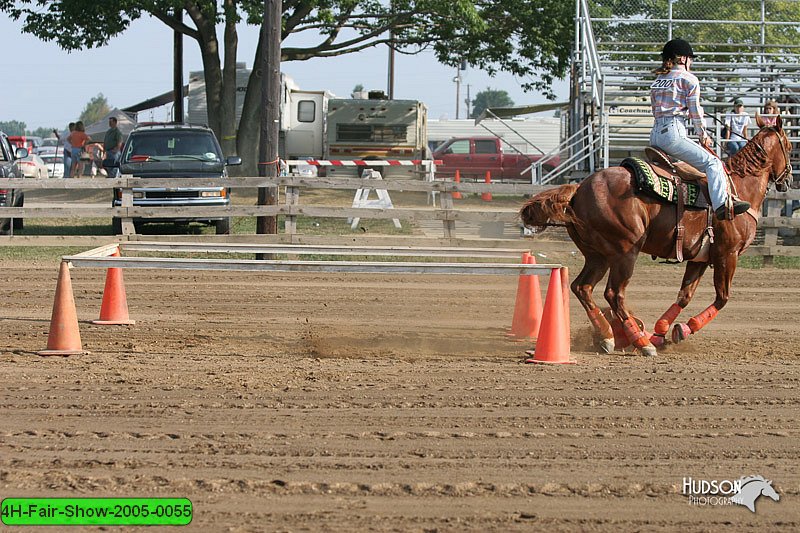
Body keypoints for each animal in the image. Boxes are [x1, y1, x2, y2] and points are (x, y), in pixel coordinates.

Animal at [520, 117, 792, 358]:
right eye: (789, 147)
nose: (788, 179)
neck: (738, 189)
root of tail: (580, 189)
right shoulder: (728, 254)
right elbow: (722, 298)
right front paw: (682, 329)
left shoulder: (699, 259)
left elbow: (684, 296)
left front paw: (663, 333)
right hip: (625, 252)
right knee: (613, 294)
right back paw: (641, 343)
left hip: (598, 255)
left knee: (582, 287)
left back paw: (608, 336)